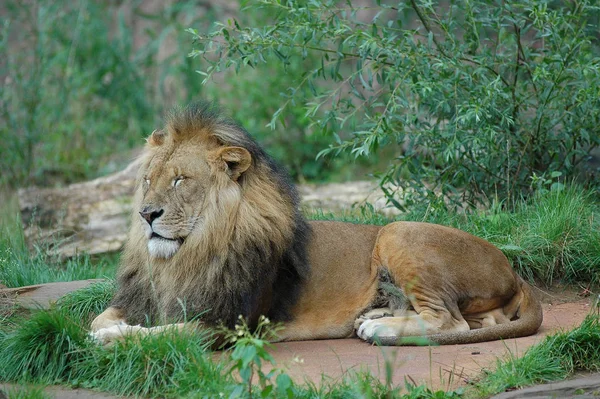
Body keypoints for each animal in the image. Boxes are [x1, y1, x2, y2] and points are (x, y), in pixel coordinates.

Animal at [90, 102, 544, 346]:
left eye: (180, 180)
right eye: (148, 180)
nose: (146, 214)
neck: (183, 257)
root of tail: (511, 269)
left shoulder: (226, 325)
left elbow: (158, 333)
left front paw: (109, 339)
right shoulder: (141, 298)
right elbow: (99, 317)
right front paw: (103, 328)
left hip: (398, 232)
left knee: (451, 320)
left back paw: (381, 330)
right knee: (480, 322)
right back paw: (377, 316)